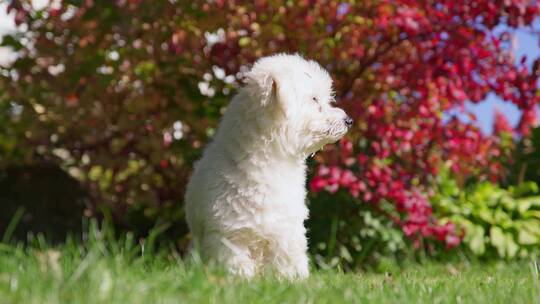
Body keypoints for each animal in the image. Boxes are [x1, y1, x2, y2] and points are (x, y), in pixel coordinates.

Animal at [186, 53, 352, 280]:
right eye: (314, 99)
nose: (348, 120)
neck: (270, 160)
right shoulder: (228, 234)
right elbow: (236, 263)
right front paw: (241, 281)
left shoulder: (287, 228)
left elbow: (287, 259)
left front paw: (291, 281)